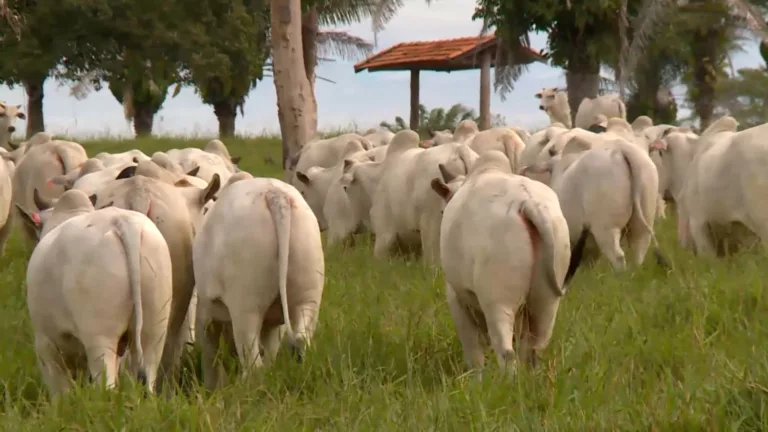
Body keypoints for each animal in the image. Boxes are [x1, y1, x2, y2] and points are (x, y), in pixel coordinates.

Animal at [16, 189, 174, 398]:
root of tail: (122, 221)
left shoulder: (46, 343)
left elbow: (60, 393)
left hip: (99, 338)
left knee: (106, 384)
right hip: (154, 332)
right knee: (148, 376)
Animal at [194, 177, 326, 390]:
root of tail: (276, 196)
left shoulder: (206, 313)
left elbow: (210, 356)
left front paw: (212, 389)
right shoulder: (273, 326)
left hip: (246, 307)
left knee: (253, 365)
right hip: (308, 294)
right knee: (301, 339)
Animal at [432, 150, 588, 376]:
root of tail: (527, 203)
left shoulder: (456, 296)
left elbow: (473, 351)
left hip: (498, 301)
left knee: (506, 351)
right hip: (546, 300)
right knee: (534, 348)